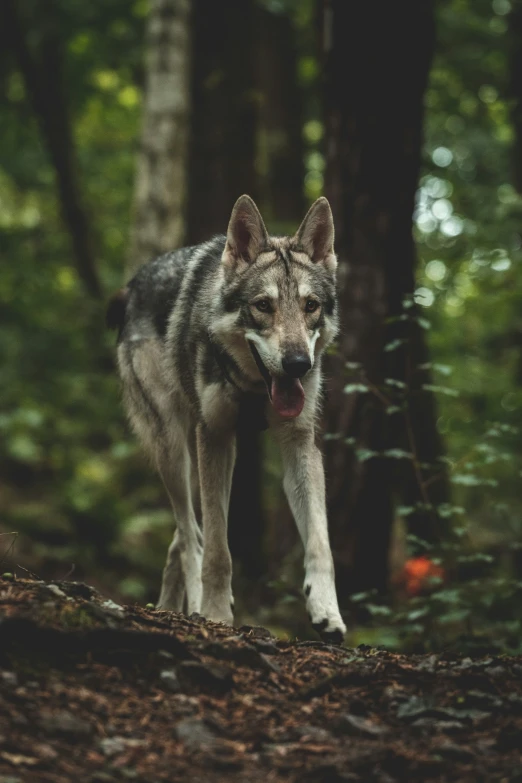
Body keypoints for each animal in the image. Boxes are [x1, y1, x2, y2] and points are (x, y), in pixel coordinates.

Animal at [106, 194, 346, 644]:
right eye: (263, 306)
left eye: (311, 306)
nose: (298, 364)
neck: (254, 387)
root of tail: (134, 283)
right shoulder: (216, 437)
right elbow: (218, 550)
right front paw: (216, 614)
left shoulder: (300, 444)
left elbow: (321, 543)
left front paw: (326, 611)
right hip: (174, 450)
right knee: (190, 535)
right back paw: (193, 604)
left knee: (181, 537)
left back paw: (169, 608)